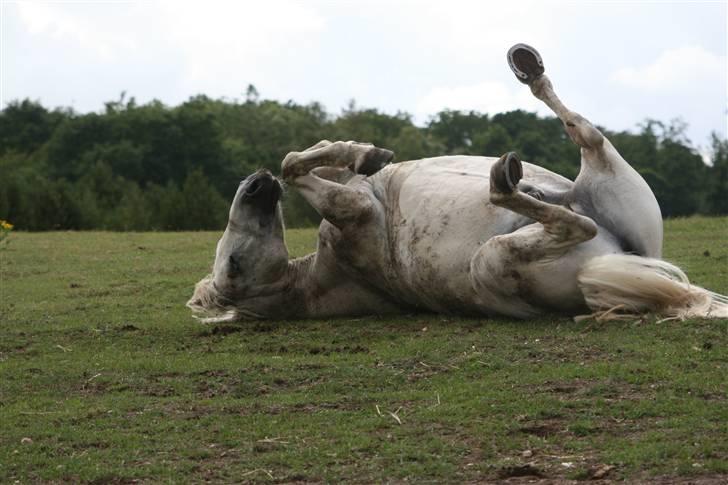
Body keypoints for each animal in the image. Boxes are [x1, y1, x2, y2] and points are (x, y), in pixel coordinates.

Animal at [189, 42, 728, 322]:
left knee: (584, 138)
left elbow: (305, 157)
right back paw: (505, 179)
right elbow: (296, 167)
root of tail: (598, 272)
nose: (255, 187)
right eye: (233, 266)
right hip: (496, 258)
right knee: (577, 204)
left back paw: (527, 72)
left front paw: (366, 151)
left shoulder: (350, 190)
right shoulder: (356, 212)